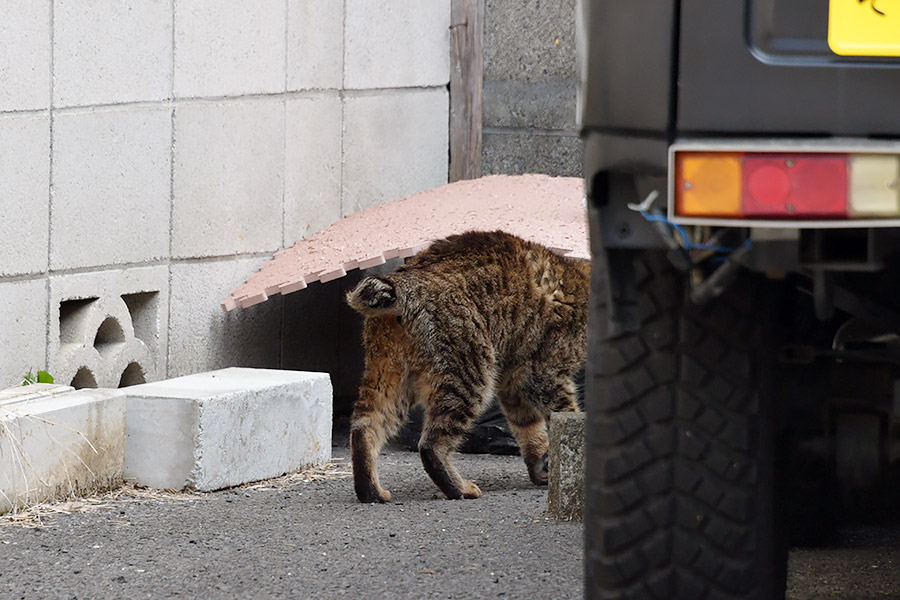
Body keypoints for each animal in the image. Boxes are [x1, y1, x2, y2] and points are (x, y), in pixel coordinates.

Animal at [344, 230, 592, 502]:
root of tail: (402, 278)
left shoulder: (513, 381)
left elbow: (529, 429)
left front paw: (543, 466)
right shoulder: (544, 375)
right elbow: (568, 417)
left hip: (389, 378)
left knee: (364, 427)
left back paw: (371, 491)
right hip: (471, 375)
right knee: (431, 445)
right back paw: (458, 488)